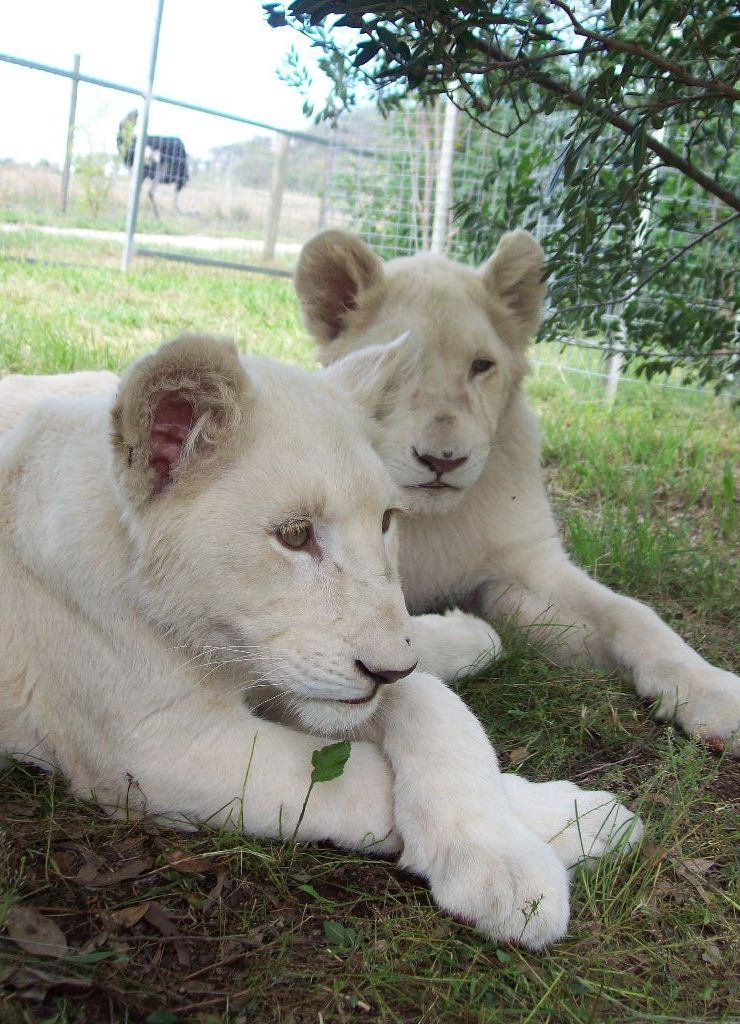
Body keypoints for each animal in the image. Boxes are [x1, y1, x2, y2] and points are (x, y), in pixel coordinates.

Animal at [0, 334, 641, 950]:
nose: (389, 669)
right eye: (293, 535)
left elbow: (438, 705)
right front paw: (553, 841)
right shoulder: (148, 751)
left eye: (386, 521)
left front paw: (514, 844)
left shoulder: (291, 675)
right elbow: (357, 780)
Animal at [295, 229, 740, 753]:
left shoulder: (528, 565)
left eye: (481, 366)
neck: (429, 520)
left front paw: (714, 694)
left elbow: (632, 614)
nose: (443, 460)